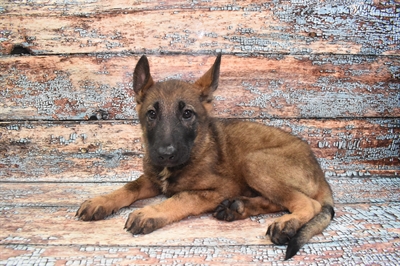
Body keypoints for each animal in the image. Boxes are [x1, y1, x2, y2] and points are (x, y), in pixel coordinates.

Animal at [76, 54, 332, 260]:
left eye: (187, 114)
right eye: (152, 114)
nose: (165, 154)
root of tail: (321, 174)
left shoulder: (222, 188)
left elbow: (183, 197)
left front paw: (150, 212)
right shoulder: (152, 179)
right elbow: (129, 187)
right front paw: (101, 201)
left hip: (254, 161)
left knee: (308, 203)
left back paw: (285, 222)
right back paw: (237, 207)